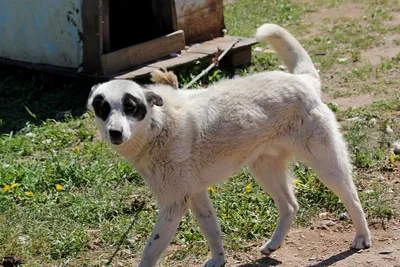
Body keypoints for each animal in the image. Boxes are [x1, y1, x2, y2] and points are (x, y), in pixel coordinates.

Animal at [87, 24, 372, 266]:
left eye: (131, 106)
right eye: (102, 107)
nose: (114, 132)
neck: (158, 125)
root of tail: (303, 80)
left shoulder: (173, 204)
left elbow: (149, 250)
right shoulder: (196, 194)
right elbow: (212, 230)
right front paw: (219, 260)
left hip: (325, 163)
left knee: (351, 196)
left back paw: (362, 238)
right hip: (264, 169)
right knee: (291, 206)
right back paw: (273, 244)